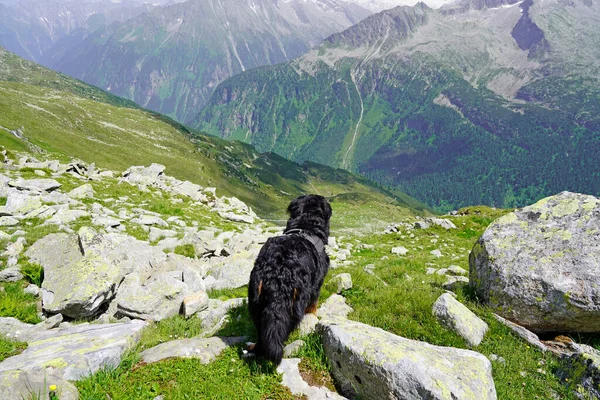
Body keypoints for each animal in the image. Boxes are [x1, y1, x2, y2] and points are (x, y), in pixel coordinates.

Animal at [248, 195, 332, 366]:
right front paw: (313, 315)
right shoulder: (317, 284)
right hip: (297, 301)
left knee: (262, 333)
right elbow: (313, 305)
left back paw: (255, 348)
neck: (306, 226)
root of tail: (278, 270)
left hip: (255, 298)